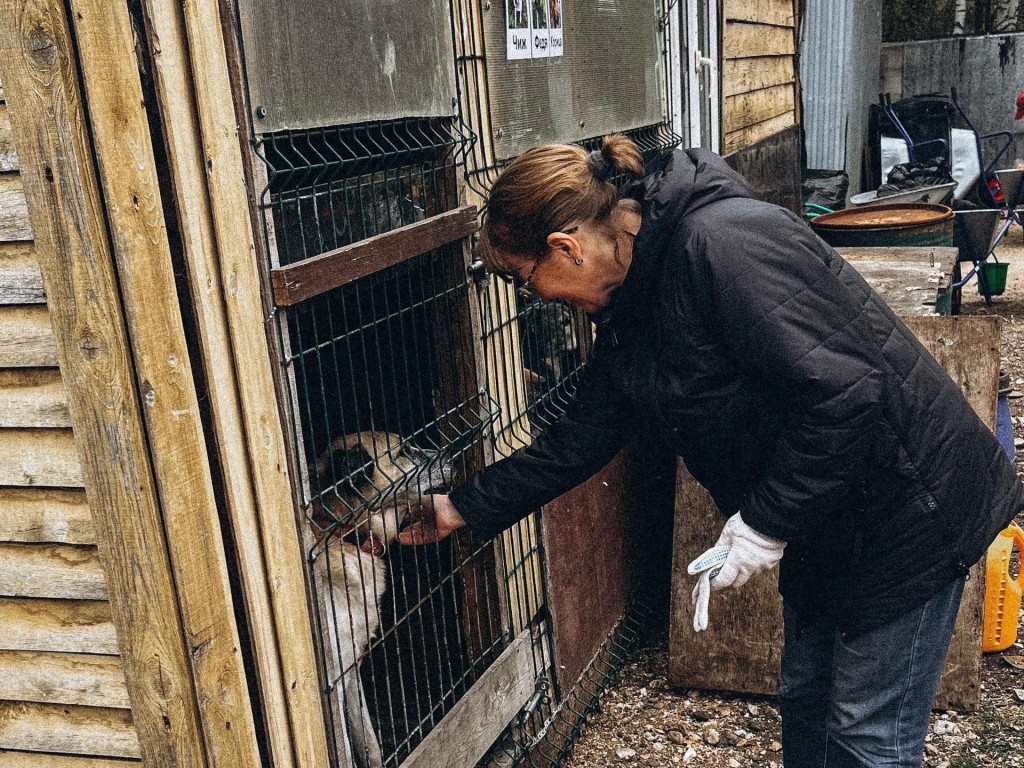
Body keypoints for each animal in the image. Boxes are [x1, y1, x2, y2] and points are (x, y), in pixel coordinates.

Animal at [311, 430, 448, 768]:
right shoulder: (335, 682)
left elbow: (369, 743)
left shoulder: (351, 671)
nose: (450, 455)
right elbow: (346, 753)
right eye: (403, 452)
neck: (348, 535)